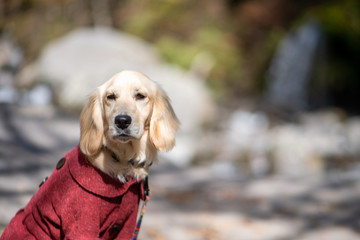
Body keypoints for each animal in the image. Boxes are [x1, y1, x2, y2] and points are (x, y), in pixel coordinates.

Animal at [0, 70, 179, 239]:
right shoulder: (82, 223)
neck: (121, 159)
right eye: (111, 97)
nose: (121, 121)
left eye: (140, 96)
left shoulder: (126, 226)